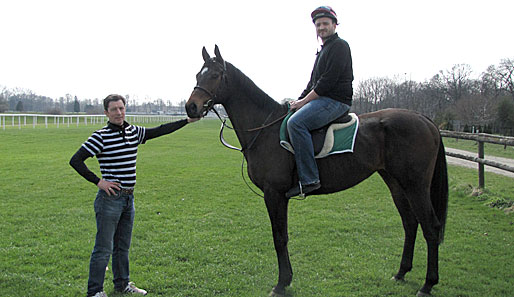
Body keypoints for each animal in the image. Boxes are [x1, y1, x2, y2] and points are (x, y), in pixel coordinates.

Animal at [184, 45, 444, 294]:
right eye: (198, 74)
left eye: (215, 75)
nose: (191, 107)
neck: (266, 130)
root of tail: (423, 118)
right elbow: (281, 237)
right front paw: (285, 280)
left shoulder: (275, 194)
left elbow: (280, 237)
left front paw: (282, 283)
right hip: (396, 183)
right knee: (410, 224)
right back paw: (401, 272)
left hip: (416, 186)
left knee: (431, 227)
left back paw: (428, 284)